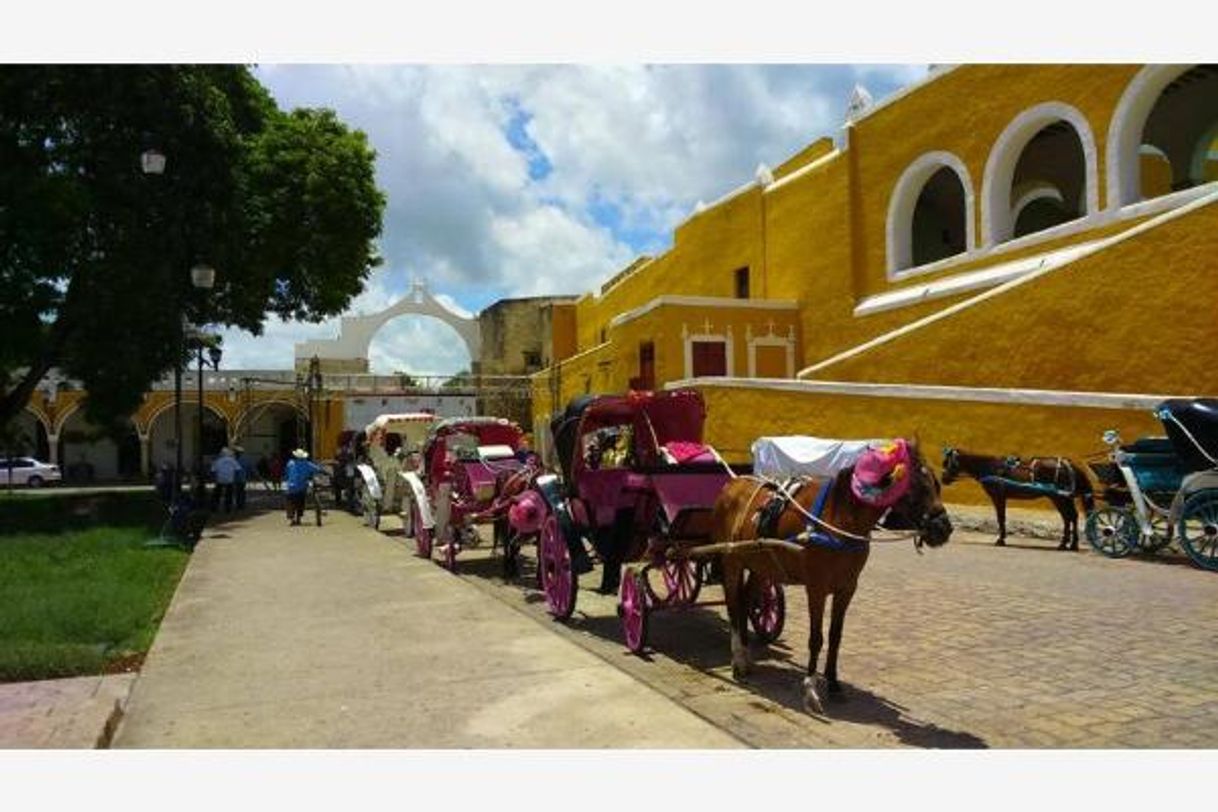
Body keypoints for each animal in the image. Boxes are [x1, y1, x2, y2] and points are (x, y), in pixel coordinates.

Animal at [706, 440, 950, 715]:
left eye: (937, 484)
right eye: (916, 487)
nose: (944, 528)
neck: (838, 518)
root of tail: (731, 485)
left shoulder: (847, 588)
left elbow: (835, 637)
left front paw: (833, 683)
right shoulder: (817, 588)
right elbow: (816, 638)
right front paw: (811, 690)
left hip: (760, 565)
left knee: (747, 600)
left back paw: (747, 655)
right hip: (732, 561)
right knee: (733, 606)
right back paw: (738, 659)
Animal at [935, 445, 1101, 552]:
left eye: (948, 463)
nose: (944, 479)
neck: (990, 468)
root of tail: (1069, 465)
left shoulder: (998, 497)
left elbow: (1001, 518)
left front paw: (1000, 540)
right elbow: (1001, 518)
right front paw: (1002, 538)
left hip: (1059, 497)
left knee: (1069, 517)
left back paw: (1066, 544)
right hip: (1063, 497)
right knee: (1071, 517)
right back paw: (1070, 544)